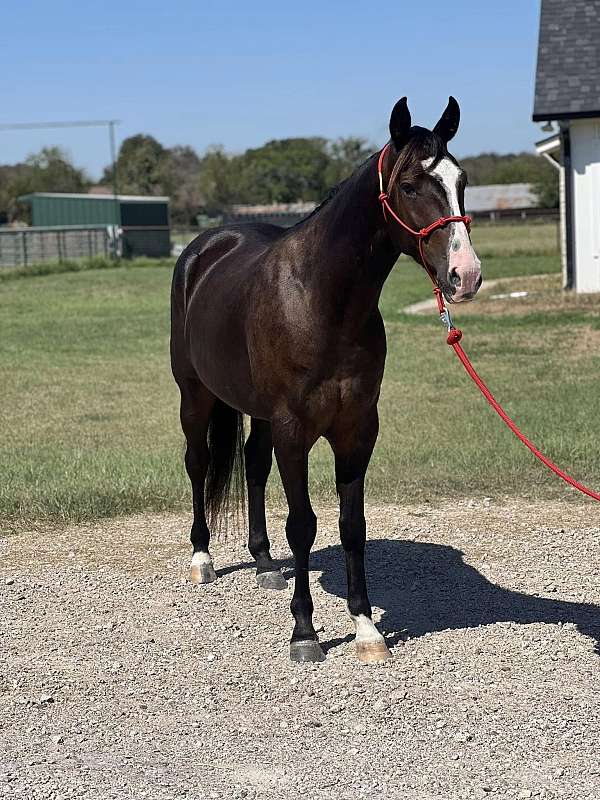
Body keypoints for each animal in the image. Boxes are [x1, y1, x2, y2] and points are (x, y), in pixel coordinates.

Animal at [170, 97, 482, 664]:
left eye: (460, 180)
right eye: (410, 186)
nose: (464, 275)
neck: (320, 299)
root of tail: (205, 246)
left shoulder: (357, 429)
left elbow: (351, 526)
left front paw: (366, 628)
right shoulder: (294, 430)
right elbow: (303, 525)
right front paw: (304, 633)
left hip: (259, 413)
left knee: (252, 464)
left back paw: (264, 563)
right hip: (195, 395)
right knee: (198, 463)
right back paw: (202, 559)